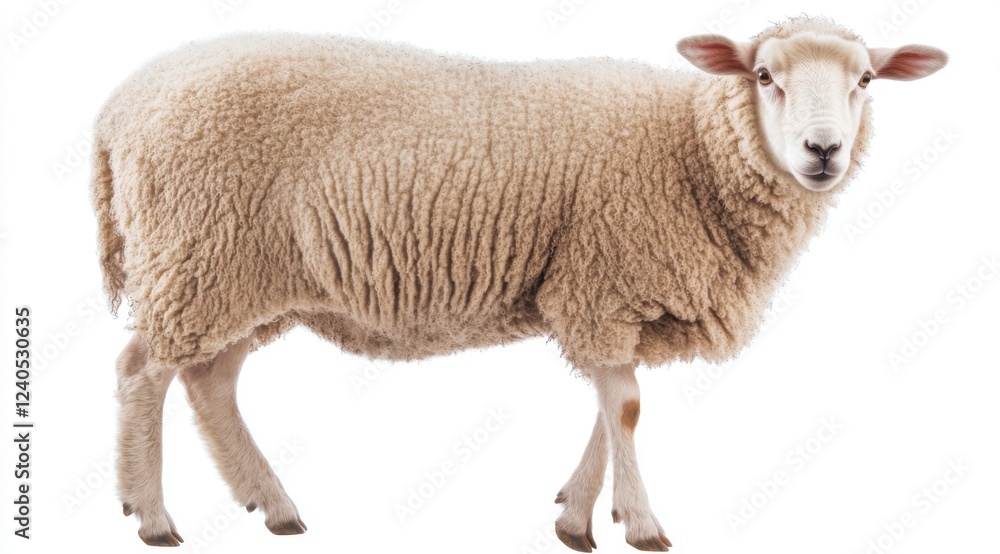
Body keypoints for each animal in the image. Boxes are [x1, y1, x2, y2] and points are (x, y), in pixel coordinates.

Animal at [91, 15, 947, 550]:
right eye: (765, 75)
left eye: (867, 79)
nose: (822, 151)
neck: (689, 152)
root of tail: (120, 105)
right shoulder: (603, 280)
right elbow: (626, 406)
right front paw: (640, 524)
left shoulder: (596, 294)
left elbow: (609, 404)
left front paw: (576, 517)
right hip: (197, 255)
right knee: (140, 372)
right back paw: (153, 516)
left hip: (241, 279)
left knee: (209, 380)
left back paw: (272, 507)